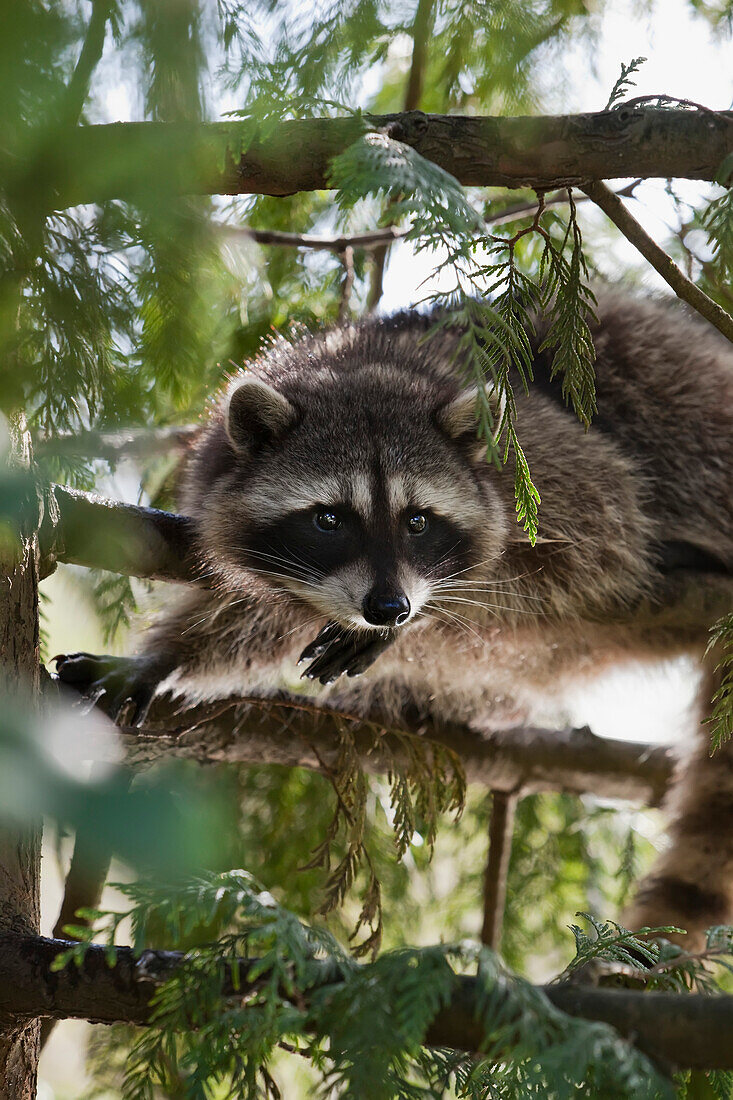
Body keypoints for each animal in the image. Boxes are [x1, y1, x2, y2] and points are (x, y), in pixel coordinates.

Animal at [55, 292, 730, 946]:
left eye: (418, 521)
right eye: (330, 519)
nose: (389, 608)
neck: (370, 370)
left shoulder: (539, 457)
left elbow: (599, 543)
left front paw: (422, 620)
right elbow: (251, 617)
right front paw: (167, 655)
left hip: (673, 383)